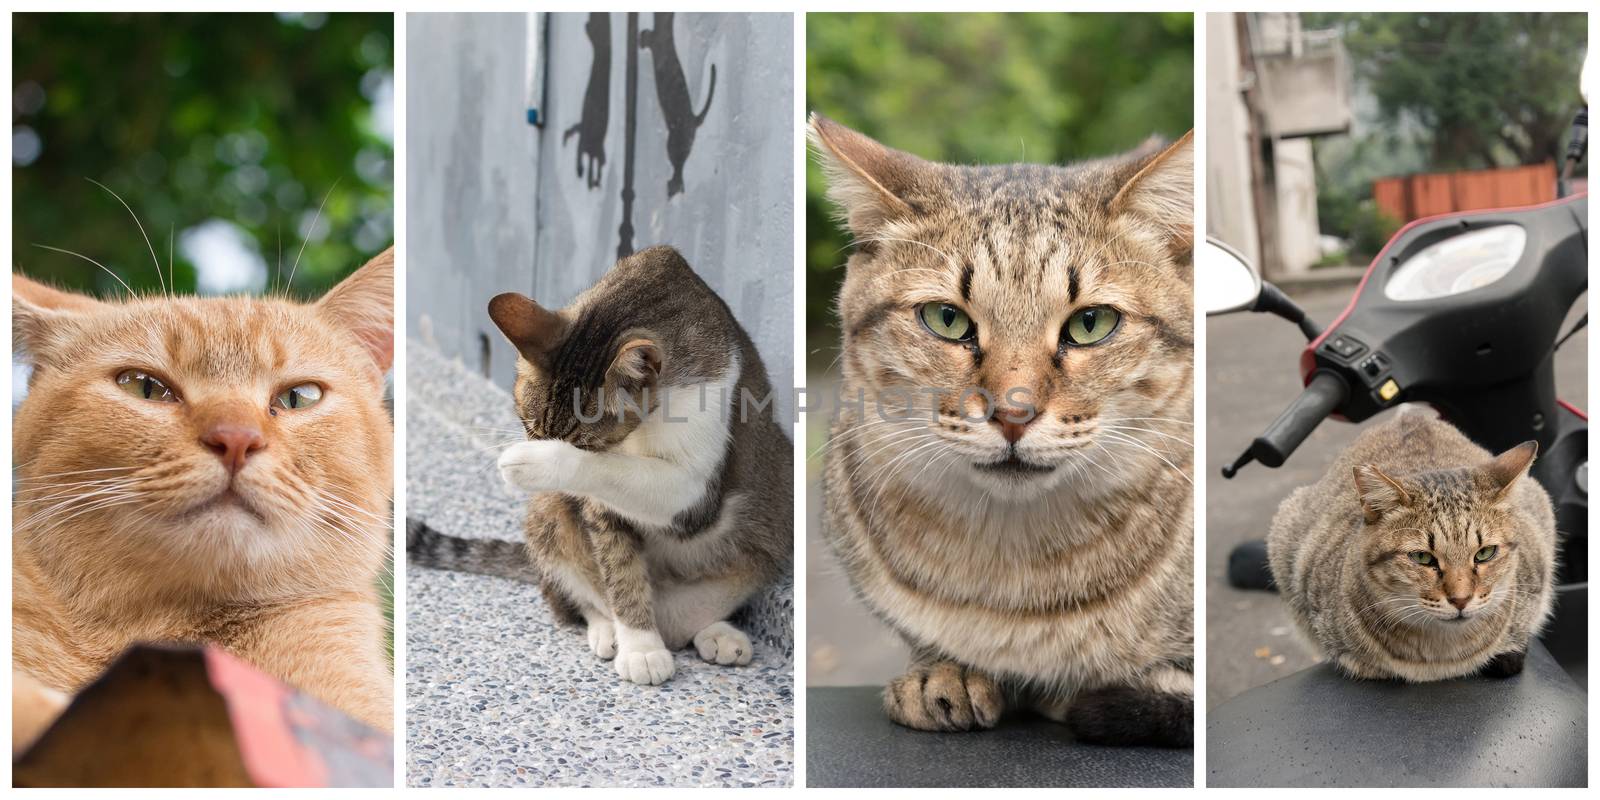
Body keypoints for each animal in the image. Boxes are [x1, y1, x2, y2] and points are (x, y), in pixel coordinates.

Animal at [473, 246, 793, 684]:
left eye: (587, 444)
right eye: (529, 427)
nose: (536, 447)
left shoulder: (698, 490)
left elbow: (619, 473)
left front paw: (538, 461)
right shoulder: (599, 508)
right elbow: (619, 567)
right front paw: (640, 646)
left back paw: (717, 634)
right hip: (546, 515)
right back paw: (608, 629)